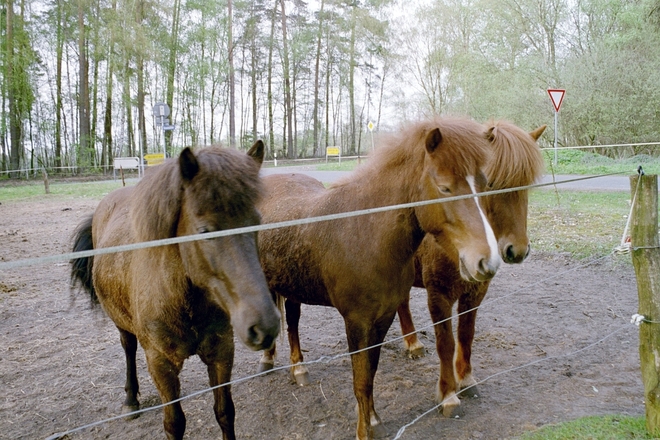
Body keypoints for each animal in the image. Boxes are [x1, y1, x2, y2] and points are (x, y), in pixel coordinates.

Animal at [69, 143, 278, 440]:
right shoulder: (161, 364)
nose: (264, 326)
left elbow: (225, 412)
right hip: (121, 323)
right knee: (128, 347)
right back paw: (130, 400)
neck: (183, 301)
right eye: (204, 231)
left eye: (257, 222)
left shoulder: (222, 352)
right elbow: (174, 423)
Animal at [256, 117, 500, 440]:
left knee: (293, 322)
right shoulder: (356, 321)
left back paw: (298, 370)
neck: (367, 233)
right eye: (445, 187)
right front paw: (364, 430)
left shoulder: (383, 317)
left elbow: (370, 372)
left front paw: (373, 420)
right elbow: (361, 379)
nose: (487, 260)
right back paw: (268, 359)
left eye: (486, 184)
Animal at [398, 120, 548, 416]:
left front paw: (466, 379)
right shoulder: (438, 295)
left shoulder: (475, 291)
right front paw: (448, 393)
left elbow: (466, 334)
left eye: (526, 185)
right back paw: (413, 344)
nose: (517, 250)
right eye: (492, 183)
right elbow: (445, 342)